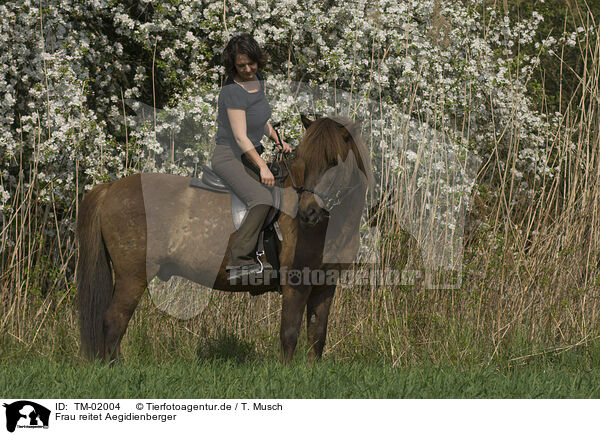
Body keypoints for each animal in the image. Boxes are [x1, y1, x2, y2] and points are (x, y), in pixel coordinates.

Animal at [76, 116, 370, 364]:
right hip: (132, 276)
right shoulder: (295, 283)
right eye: (305, 160)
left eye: (334, 163)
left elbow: (317, 335)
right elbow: (289, 333)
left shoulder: (325, 284)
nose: (308, 212)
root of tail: (110, 188)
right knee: (114, 321)